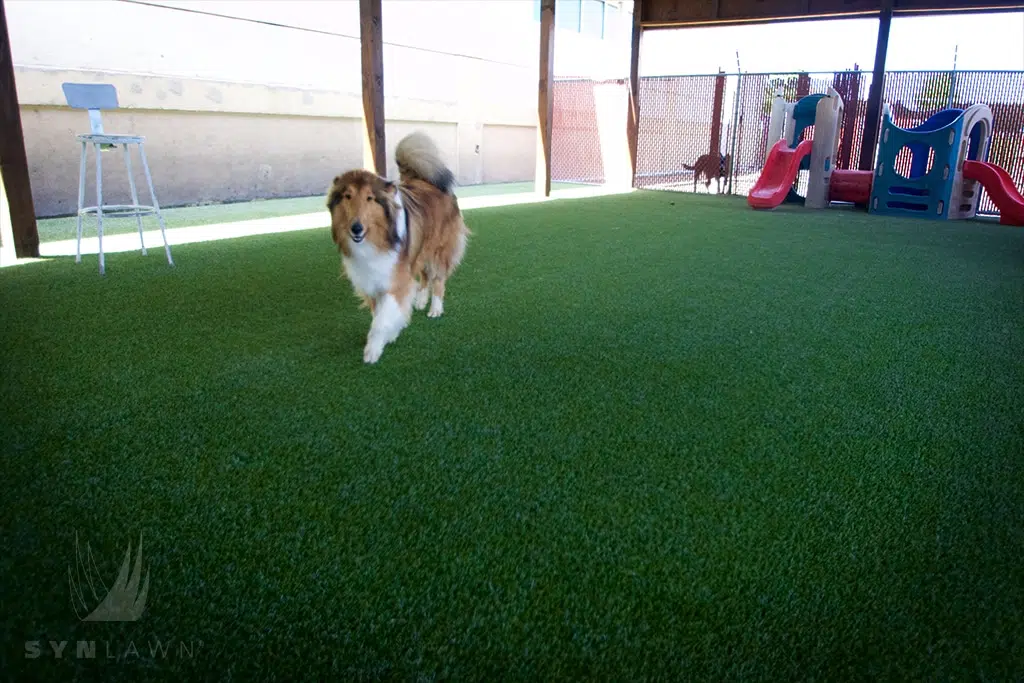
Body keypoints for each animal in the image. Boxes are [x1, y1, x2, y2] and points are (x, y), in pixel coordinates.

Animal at [325, 129, 468, 362]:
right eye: (347, 196)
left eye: (370, 198)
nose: (356, 229)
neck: (376, 240)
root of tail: (425, 178)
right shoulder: (372, 280)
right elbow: (380, 314)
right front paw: (391, 332)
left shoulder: (395, 279)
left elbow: (381, 320)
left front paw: (374, 349)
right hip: (419, 250)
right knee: (425, 276)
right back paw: (420, 300)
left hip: (438, 249)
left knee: (438, 279)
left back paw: (435, 308)